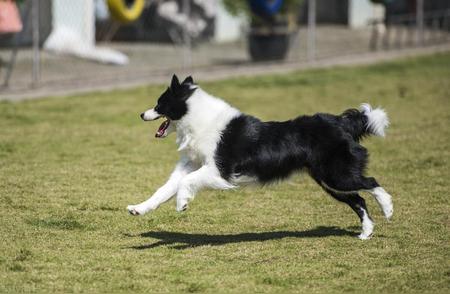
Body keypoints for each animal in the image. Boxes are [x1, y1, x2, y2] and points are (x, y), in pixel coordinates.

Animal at [126, 74, 394, 240]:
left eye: (159, 104)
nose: (141, 114)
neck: (196, 119)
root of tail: (341, 122)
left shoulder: (220, 171)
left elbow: (185, 182)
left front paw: (182, 202)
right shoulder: (192, 164)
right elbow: (164, 189)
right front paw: (139, 209)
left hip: (337, 175)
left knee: (371, 184)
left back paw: (388, 208)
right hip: (330, 182)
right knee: (359, 199)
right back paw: (366, 232)